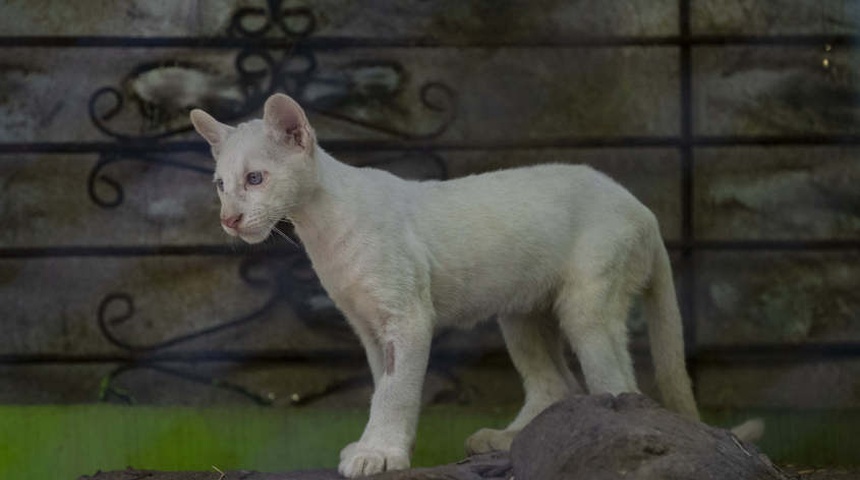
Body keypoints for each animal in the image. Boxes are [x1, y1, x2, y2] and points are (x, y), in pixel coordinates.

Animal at [190, 93, 760, 476]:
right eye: (220, 184)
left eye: (256, 179)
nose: (229, 220)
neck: (317, 227)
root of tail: (641, 207)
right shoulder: (369, 326)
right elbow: (380, 384)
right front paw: (376, 447)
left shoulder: (406, 317)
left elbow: (394, 390)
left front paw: (380, 454)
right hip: (522, 313)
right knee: (556, 383)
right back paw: (505, 442)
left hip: (588, 305)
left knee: (619, 383)